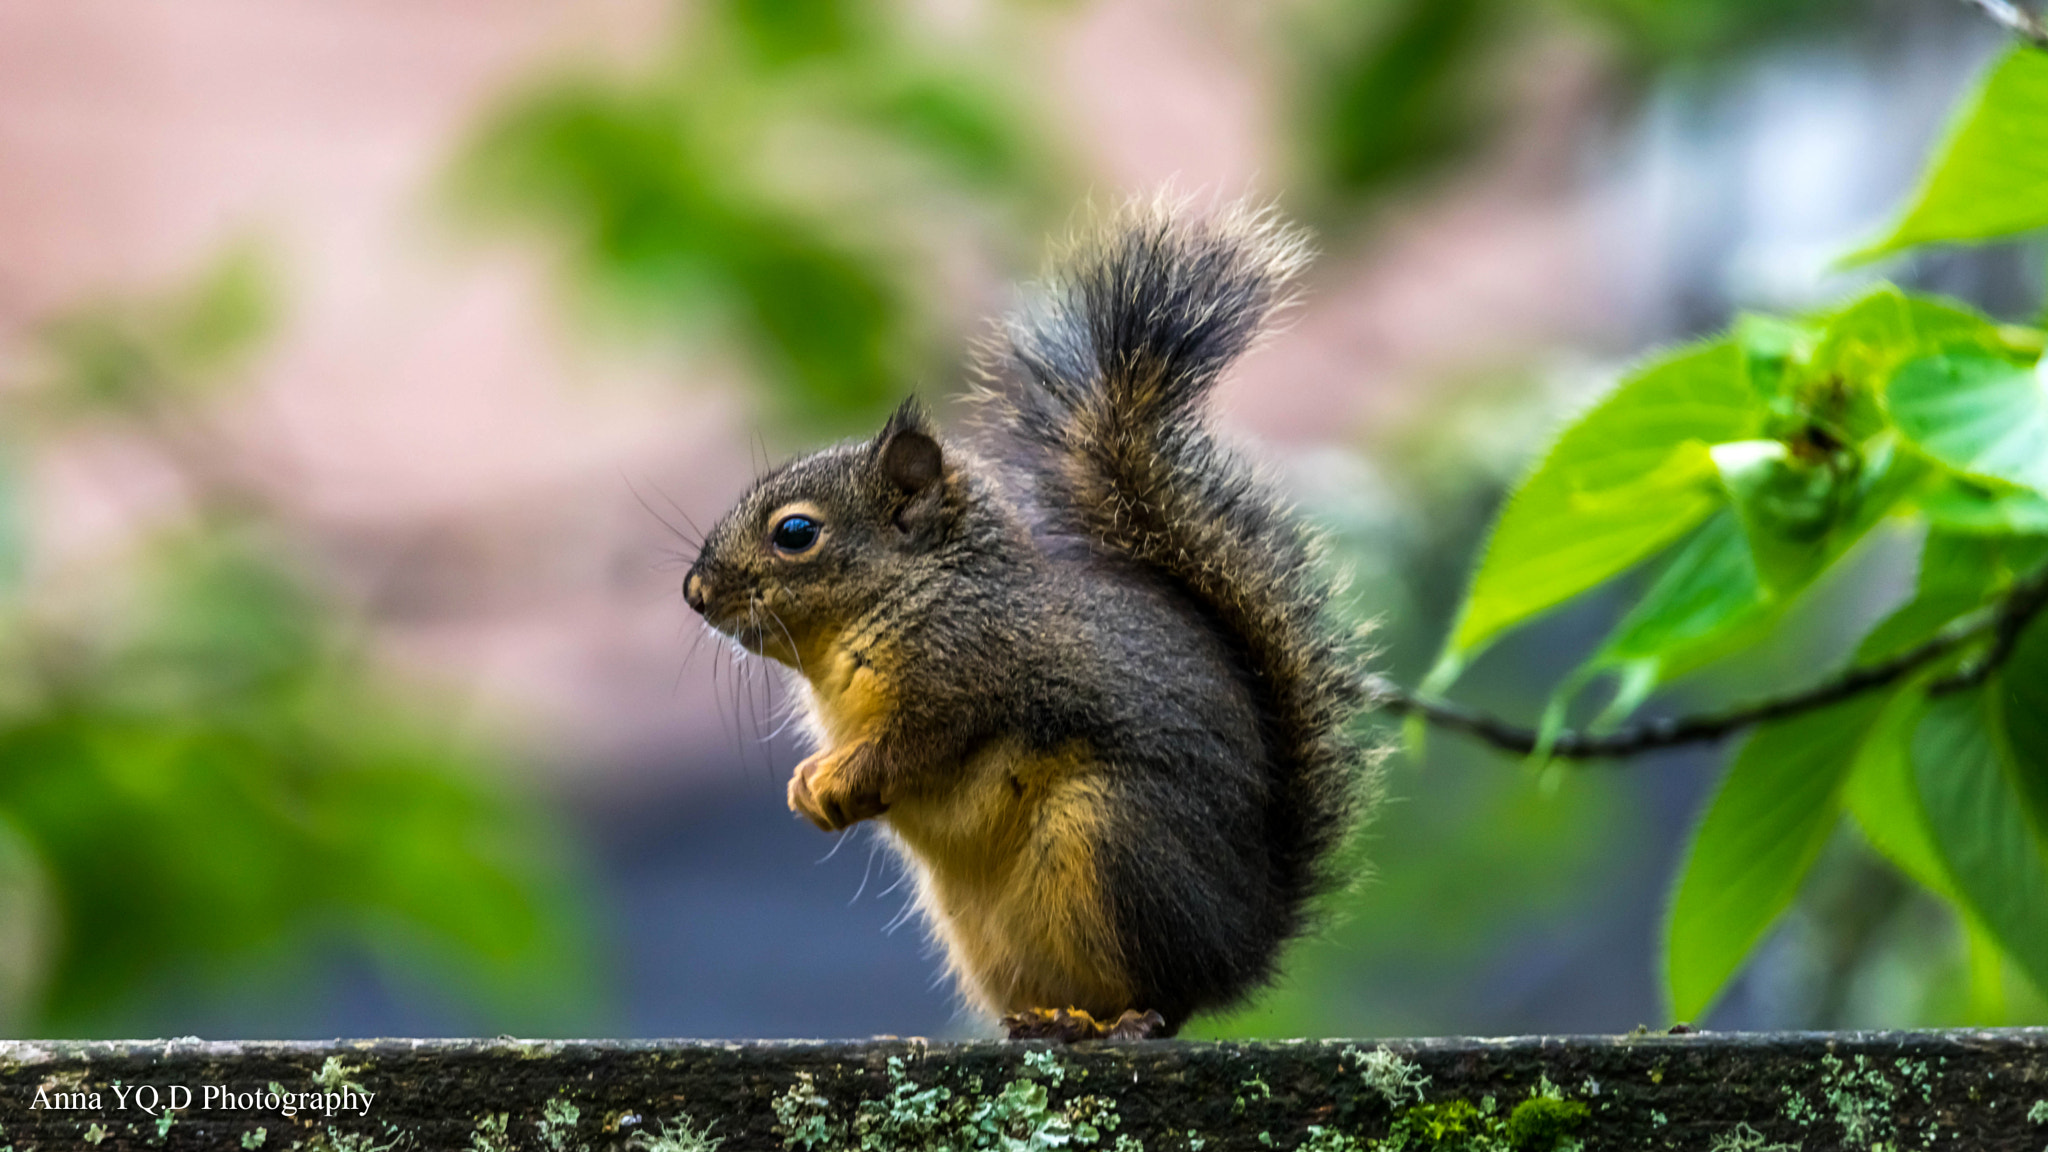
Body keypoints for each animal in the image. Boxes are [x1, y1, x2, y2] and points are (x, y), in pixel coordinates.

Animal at [675, 201, 1376, 1037]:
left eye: (794, 534)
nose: (693, 591)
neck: (904, 597)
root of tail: (1243, 945)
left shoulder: (967, 671)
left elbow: (914, 747)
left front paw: (841, 778)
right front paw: (809, 785)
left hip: (1110, 843)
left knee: (1168, 994)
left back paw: (1129, 1021)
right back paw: (1046, 1021)